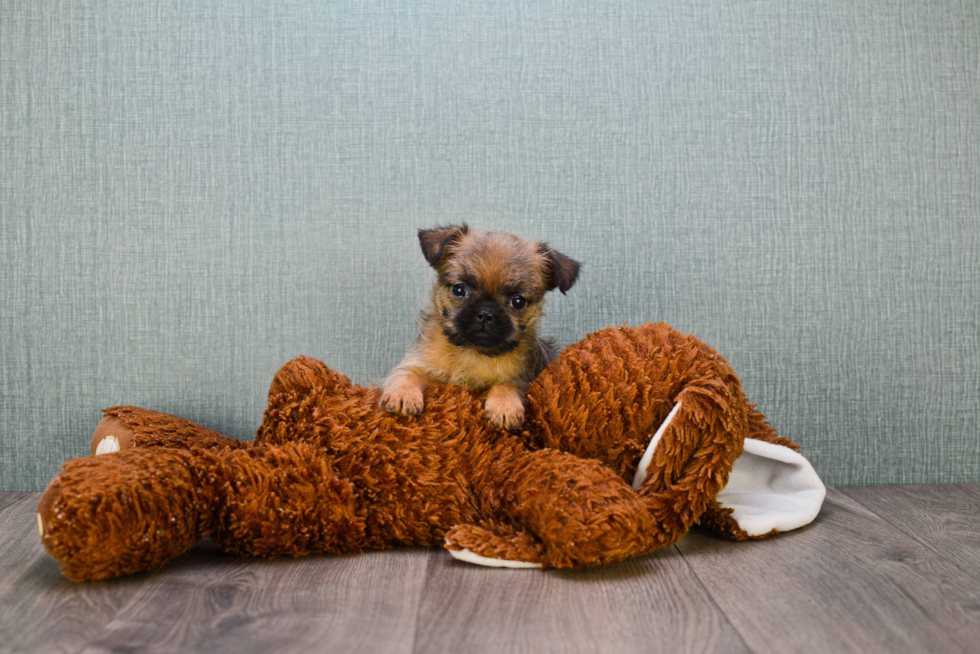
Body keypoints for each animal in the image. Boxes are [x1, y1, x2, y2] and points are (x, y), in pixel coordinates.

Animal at [378, 226, 580, 430]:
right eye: (459, 290)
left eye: (518, 302)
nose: (486, 313)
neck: (471, 352)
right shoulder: (416, 365)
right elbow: (405, 375)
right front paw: (403, 394)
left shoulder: (525, 378)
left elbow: (508, 384)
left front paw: (504, 406)